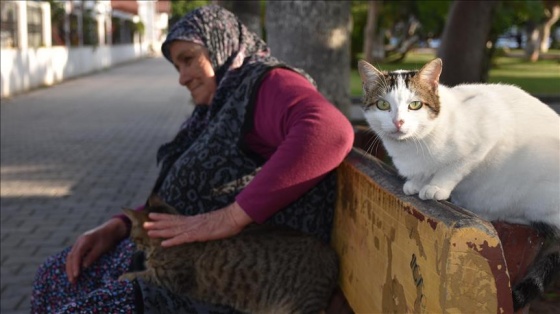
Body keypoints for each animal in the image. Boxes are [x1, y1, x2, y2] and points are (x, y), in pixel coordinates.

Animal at [120, 195, 340, 312]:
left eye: (132, 234)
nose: (131, 242)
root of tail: (331, 254)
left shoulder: (171, 278)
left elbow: (143, 274)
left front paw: (125, 275)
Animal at [358, 57, 560, 310]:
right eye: (383, 105)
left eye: (415, 105)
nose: (398, 122)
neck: (414, 145)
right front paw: (416, 182)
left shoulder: (485, 133)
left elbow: (453, 168)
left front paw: (435, 187)